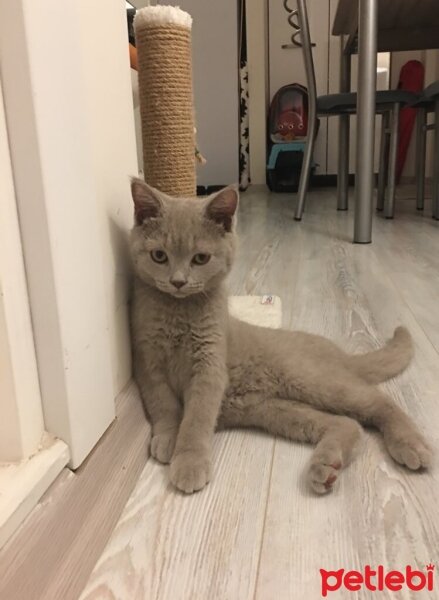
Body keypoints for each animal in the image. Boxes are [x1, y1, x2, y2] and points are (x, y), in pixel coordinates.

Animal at [130, 179, 434, 496]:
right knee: (348, 423)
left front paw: (189, 462)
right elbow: (163, 405)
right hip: (276, 410)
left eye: (200, 258)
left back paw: (410, 445)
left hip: (311, 380)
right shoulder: (148, 363)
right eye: (159, 256)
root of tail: (340, 353)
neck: (177, 312)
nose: (178, 281)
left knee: (379, 401)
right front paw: (168, 438)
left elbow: (197, 419)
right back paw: (326, 466)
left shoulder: (209, 365)